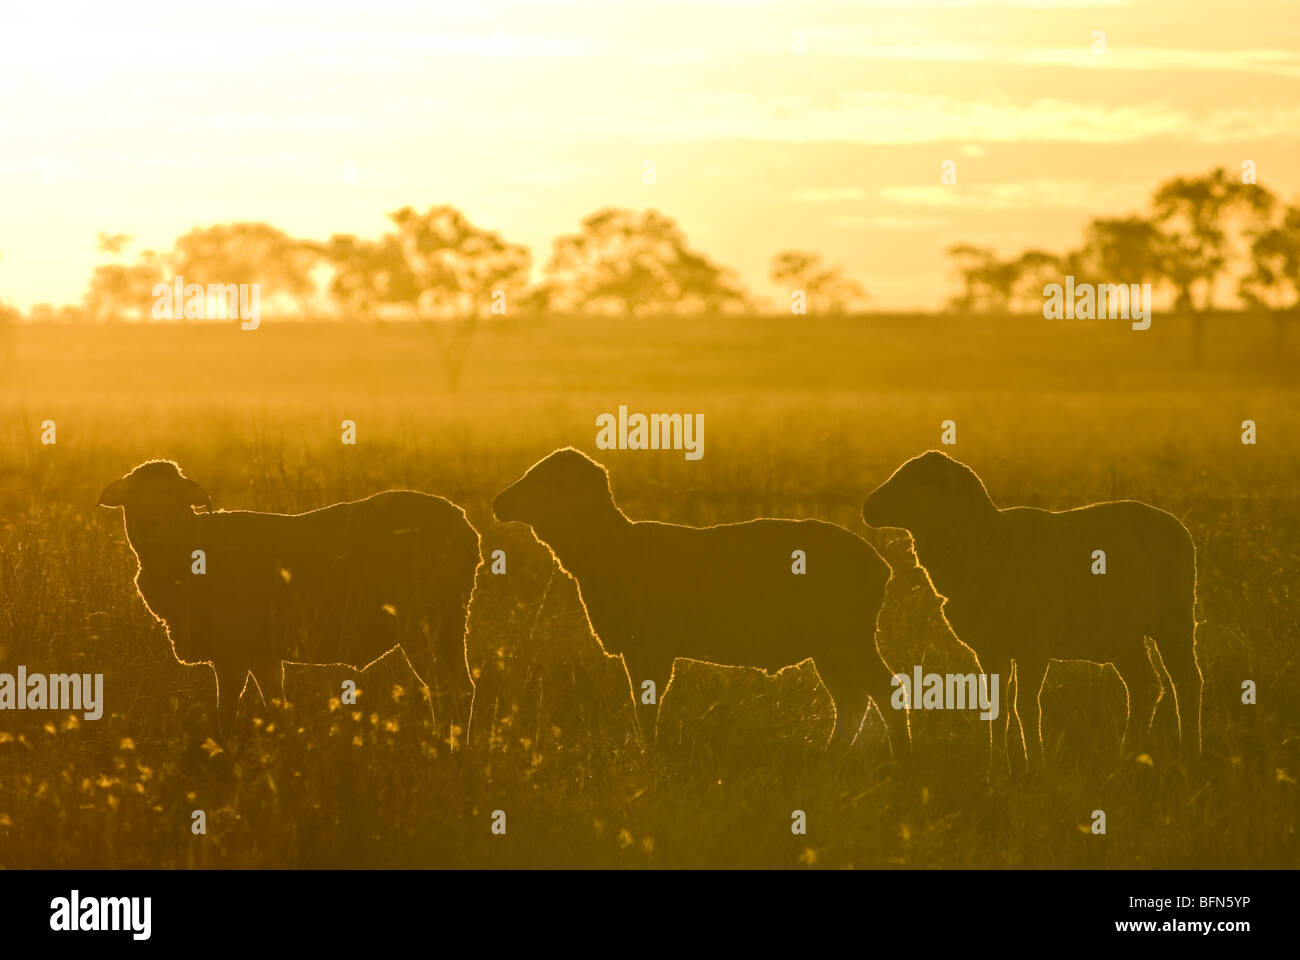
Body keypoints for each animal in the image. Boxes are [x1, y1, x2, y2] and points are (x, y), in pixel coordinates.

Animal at [98, 460, 480, 738]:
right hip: (452, 621)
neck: (189, 546)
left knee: (444, 690)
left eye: (175, 495)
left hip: (421, 623)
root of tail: (464, 526)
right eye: (132, 496)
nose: (150, 522)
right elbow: (276, 707)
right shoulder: (262, 655)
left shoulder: (232, 653)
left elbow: (227, 711)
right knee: (464, 688)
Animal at [491, 444, 909, 749]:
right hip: (831, 645)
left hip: (848, 636)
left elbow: (647, 706)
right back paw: (833, 755)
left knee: (883, 691)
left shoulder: (650, 646)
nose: (498, 504)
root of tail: (881, 565)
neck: (609, 547)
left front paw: (649, 757)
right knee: (852, 700)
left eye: (547, 481)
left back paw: (899, 756)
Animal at [857, 447, 1201, 770]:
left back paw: (1190, 752)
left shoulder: (1032, 647)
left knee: (1187, 682)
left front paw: (1035, 765)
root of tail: (1175, 523)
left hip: (1175, 620)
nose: (868, 507)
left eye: (925, 480)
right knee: (1144, 686)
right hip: (1122, 636)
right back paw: (1128, 754)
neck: (990, 543)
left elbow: (1025, 707)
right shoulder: (989, 649)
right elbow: (996, 708)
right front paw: (999, 766)